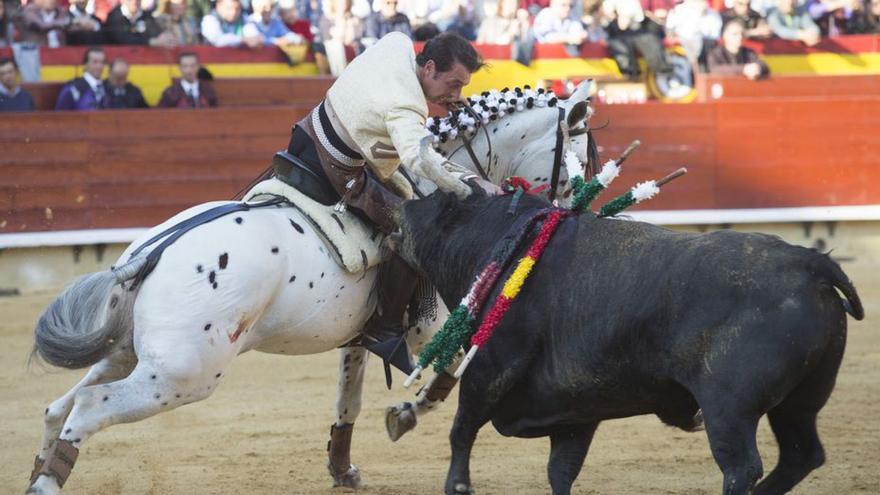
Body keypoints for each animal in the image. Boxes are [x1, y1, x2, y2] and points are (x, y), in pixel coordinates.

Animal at [24, 82, 596, 495]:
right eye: (578, 160)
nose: (575, 219)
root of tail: (151, 253)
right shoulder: (438, 328)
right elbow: (445, 381)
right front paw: (403, 416)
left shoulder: (364, 337)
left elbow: (349, 400)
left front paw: (344, 469)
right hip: (184, 374)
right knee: (89, 406)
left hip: (133, 352)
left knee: (59, 406)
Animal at [396, 192, 864, 495]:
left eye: (426, 206)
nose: (400, 209)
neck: (502, 246)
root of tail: (810, 263)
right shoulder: (576, 412)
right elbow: (561, 470)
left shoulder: (488, 370)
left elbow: (462, 431)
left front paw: (456, 485)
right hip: (801, 400)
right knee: (801, 454)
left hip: (728, 408)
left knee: (740, 466)